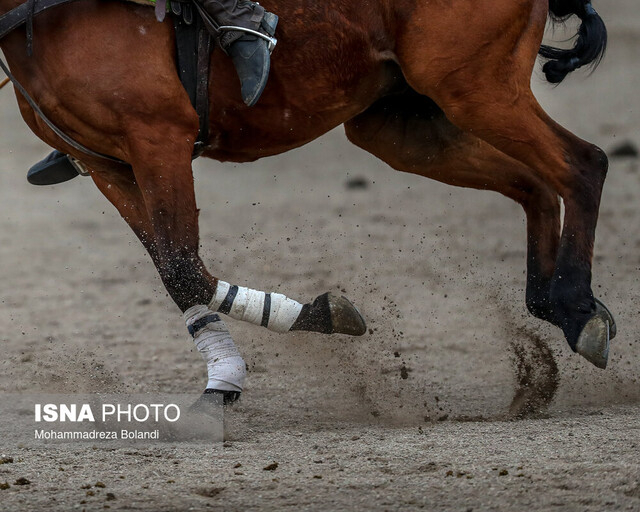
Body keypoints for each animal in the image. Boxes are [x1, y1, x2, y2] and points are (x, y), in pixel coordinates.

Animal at [1, 0, 620, 400]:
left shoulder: (158, 138)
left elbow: (180, 266)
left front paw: (317, 317)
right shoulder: (108, 164)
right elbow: (178, 271)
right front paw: (226, 374)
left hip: (476, 87)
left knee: (583, 165)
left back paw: (575, 304)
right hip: (406, 124)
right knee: (538, 185)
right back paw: (557, 308)